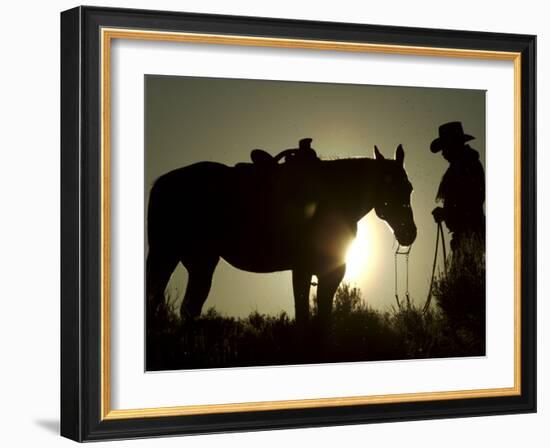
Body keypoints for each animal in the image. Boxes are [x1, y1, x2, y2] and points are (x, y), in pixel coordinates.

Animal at [147, 145, 418, 328]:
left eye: (409, 188)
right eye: (392, 186)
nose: (409, 232)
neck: (333, 197)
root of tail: (163, 182)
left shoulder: (329, 272)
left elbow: (322, 319)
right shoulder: (303, 269)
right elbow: (304, 317)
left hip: (198, 262)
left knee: (187, 306)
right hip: (169, 256)